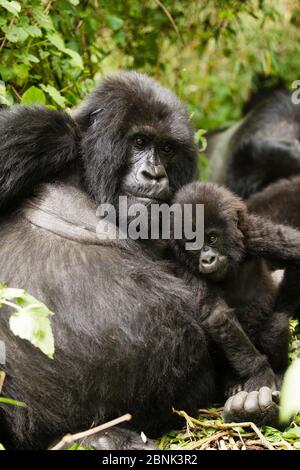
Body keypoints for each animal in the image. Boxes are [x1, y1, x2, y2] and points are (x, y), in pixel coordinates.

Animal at [170, 182, 290, 398]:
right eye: (193, 244)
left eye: (212, 237)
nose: (208, 259)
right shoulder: (186, 268)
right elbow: (218, 316)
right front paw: (259, 371)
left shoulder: (253, 233)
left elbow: (294, 252)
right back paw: (232, 382)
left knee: (276, 325)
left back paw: (279, 370)